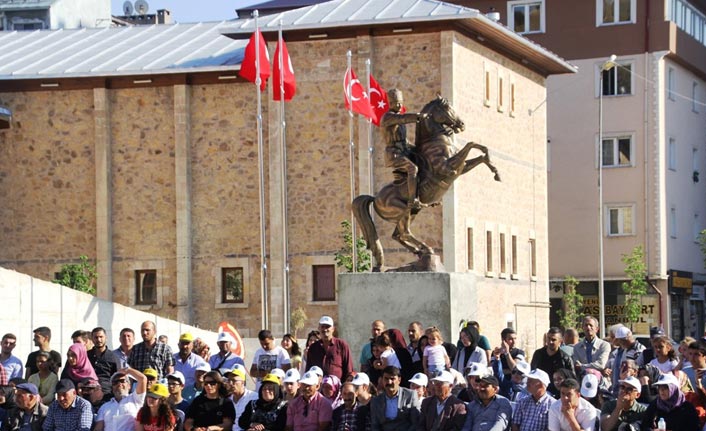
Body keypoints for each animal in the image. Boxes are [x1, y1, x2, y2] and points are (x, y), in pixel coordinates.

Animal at [350, 95, 496, 270]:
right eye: (447, 108)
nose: (461, 125)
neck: (435, 141)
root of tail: (375, 198)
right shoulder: (449, 168)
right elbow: (470, 145)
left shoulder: (462, 168)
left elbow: (480, 155)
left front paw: (496, 171)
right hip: (402, 210)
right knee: (404, 233)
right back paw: (426, 249)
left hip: (411, 213)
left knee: (397, 235)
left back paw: (420, 253)